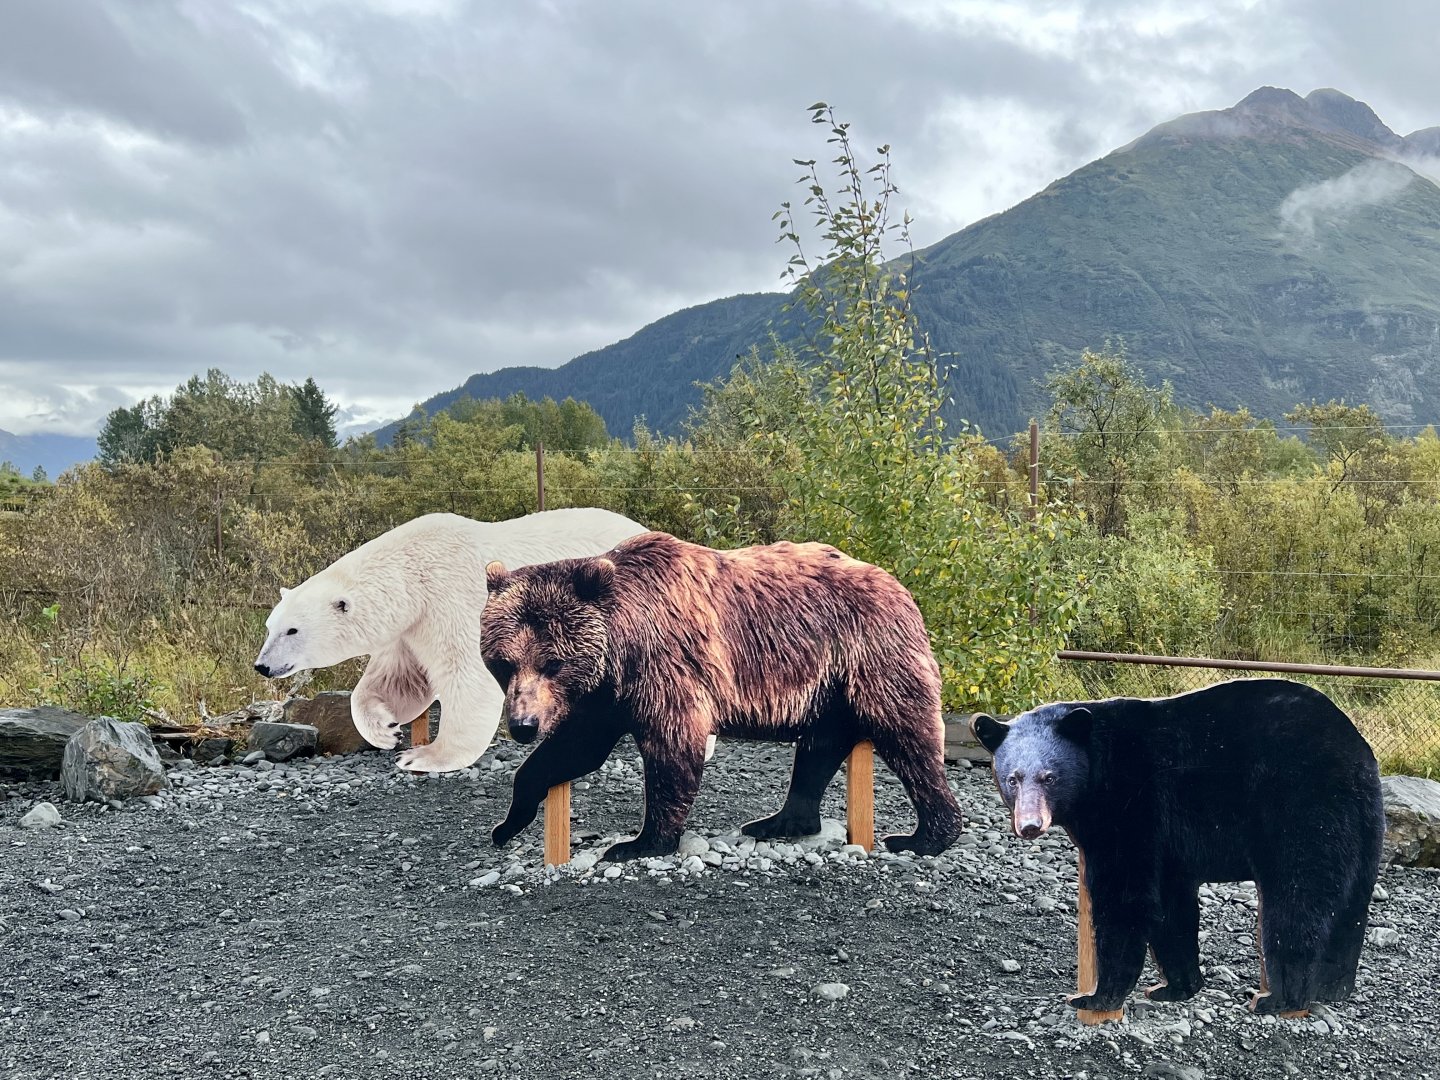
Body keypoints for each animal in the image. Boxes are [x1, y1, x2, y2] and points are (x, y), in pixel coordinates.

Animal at [252, 508, 647, 773]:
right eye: (271, 626)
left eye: (292, 630)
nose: (263, 666)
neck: (412, 573)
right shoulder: (411, 627)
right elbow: (398, 680)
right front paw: (386, 730)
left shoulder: (452, 600)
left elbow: (468, 676)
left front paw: (424, 755)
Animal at [479, 530, 964, 862]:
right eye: (503, 663)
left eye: (552, 663)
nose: (523, 726)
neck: (623, 643)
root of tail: (898, 585)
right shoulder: (606, 696)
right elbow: (574, 749)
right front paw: (506, 824)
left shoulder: (665, 665)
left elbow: (673, 748)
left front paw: (640, 842)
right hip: (826, 685)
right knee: (818, 748)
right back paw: (780, 822)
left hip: (870, 653)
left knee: (906, 734)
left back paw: (924, 836)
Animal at [971, 678, 1384, 1016]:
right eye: (1012, 778)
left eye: (1050, 777)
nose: (1029, 825)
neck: (1097, 767)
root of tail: (1359, 753)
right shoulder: (1168, 842)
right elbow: (1171, 907)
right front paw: (1176, 987)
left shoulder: (1134, 804)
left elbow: (1125, 895)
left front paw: (1096, 996)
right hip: (1363, 829)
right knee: (1351, 905)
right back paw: (1333, 988)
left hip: (1302, 806)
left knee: (1297, 898)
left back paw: (1279, 998)